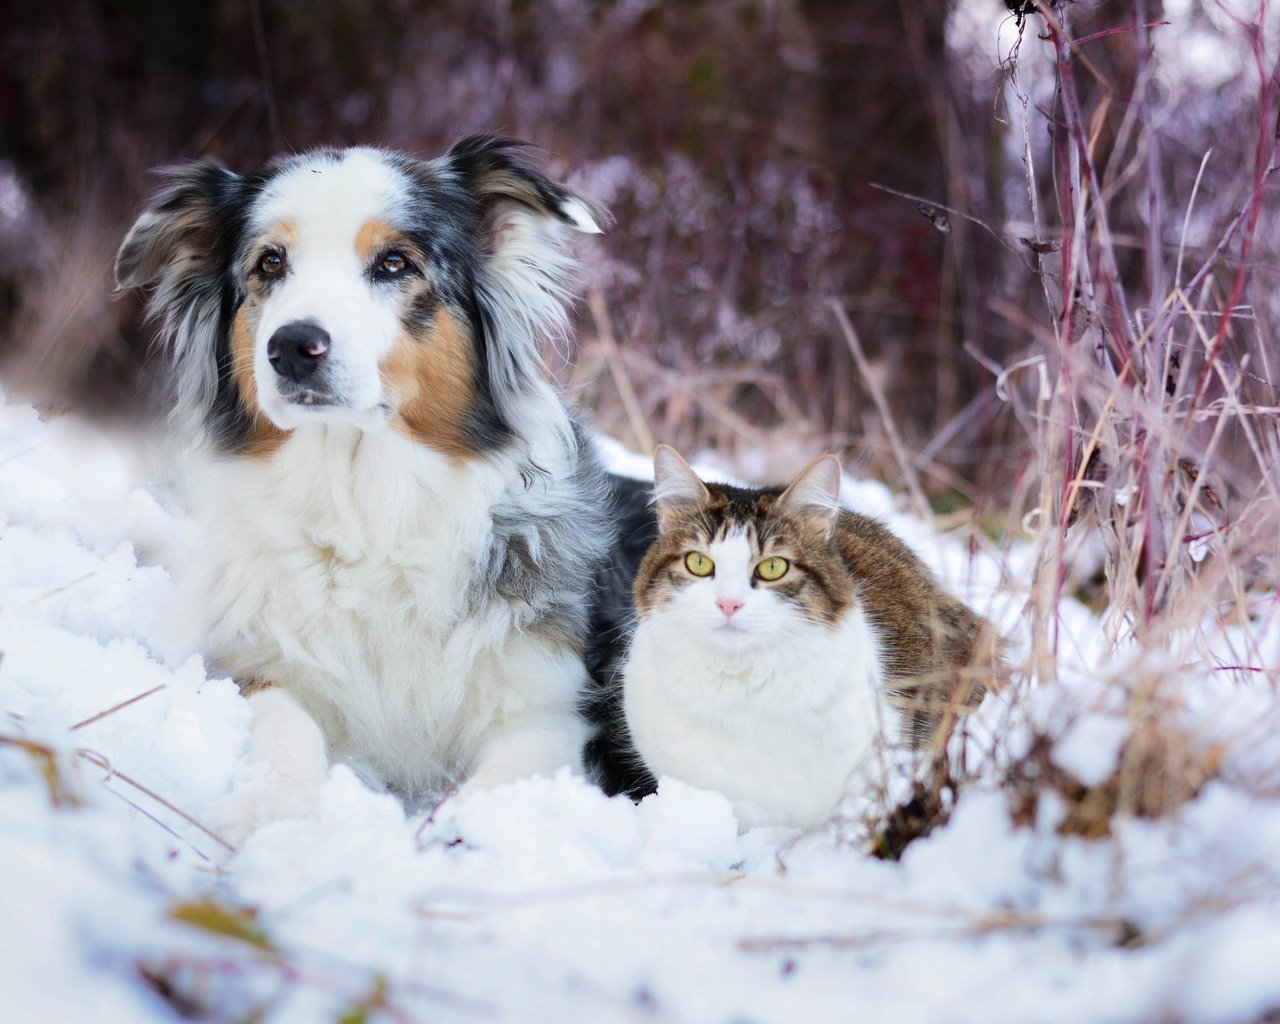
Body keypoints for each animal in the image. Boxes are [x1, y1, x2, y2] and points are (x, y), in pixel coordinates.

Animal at [112, 135, 622, 834]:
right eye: (271, 262)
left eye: (393, 263)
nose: (292, 346)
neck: (365, 506)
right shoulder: (255, 666)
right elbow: (284, 725)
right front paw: (273, 809)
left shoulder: (547, 712)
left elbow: (498, 787)